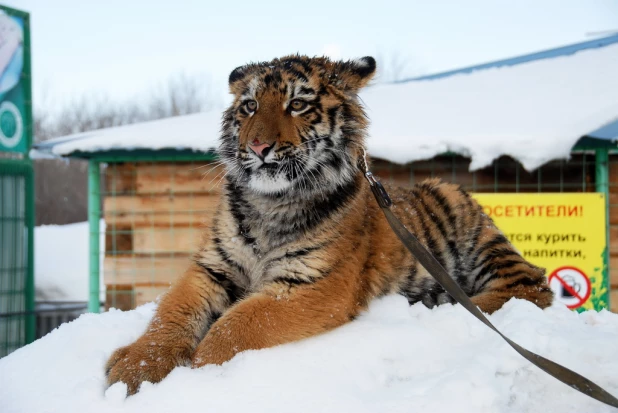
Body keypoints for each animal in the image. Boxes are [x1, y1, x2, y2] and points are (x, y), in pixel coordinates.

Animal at [106, 54, 552, 392]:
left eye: (297, 105)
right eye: (249, 106)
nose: (258, 146)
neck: (270, 203)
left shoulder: (315, 282)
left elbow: (237, 325)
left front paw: (198, 376)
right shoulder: (212, 267)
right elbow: (172, 312)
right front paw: (135, 368)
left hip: (472, 227)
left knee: (530, 285)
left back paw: (447, 308)